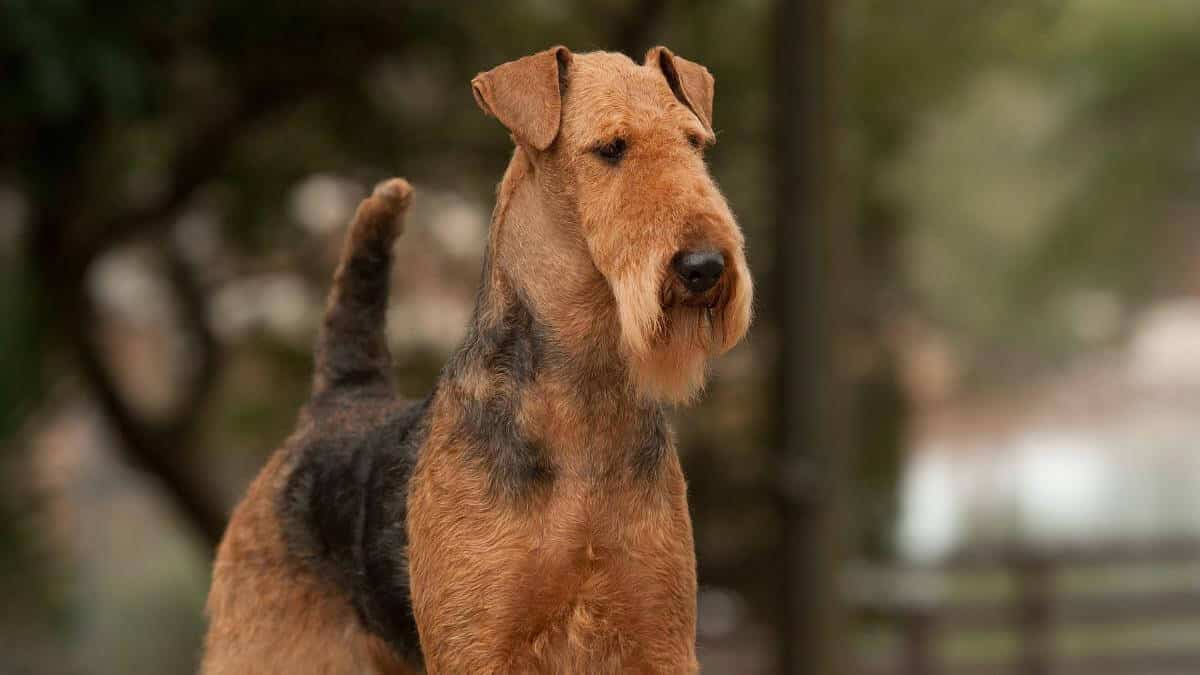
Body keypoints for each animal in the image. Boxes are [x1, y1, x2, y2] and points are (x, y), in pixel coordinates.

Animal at [202, 44, 753, 667]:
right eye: (611, 147)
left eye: (694, 143)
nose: (705, 267)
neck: (581, 398)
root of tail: (336, 403)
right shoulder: (479, 642)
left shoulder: (657, 636)